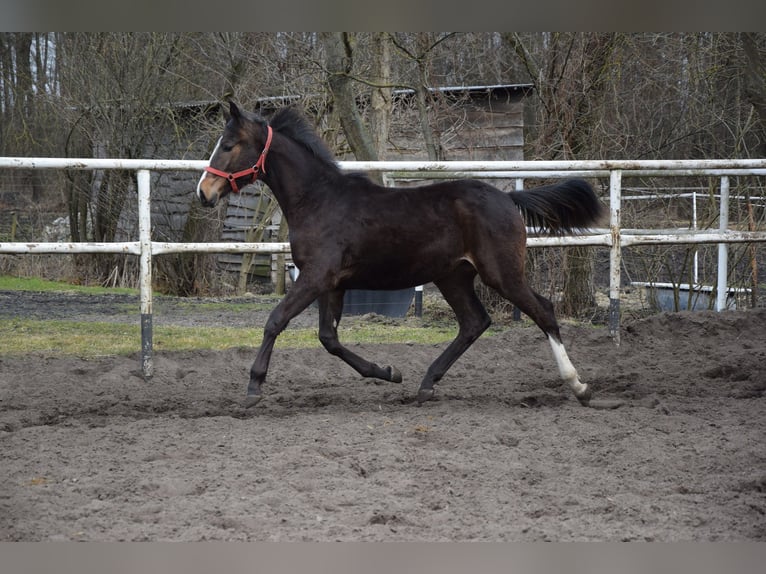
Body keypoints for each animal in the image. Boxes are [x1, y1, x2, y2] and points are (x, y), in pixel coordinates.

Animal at [197, 101, 606, 409]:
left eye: (229, 144)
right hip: (453, 275)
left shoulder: (316, 277)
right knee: (474, 322)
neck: (318, 201)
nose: (204, 192)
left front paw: (253, 387)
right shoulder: (332, 283)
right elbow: (329, 338)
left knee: (543, 311)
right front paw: (389, 372)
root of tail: (508, 198)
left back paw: (580, 387)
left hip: (501, 273)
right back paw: (426, 384)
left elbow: (275, 320)